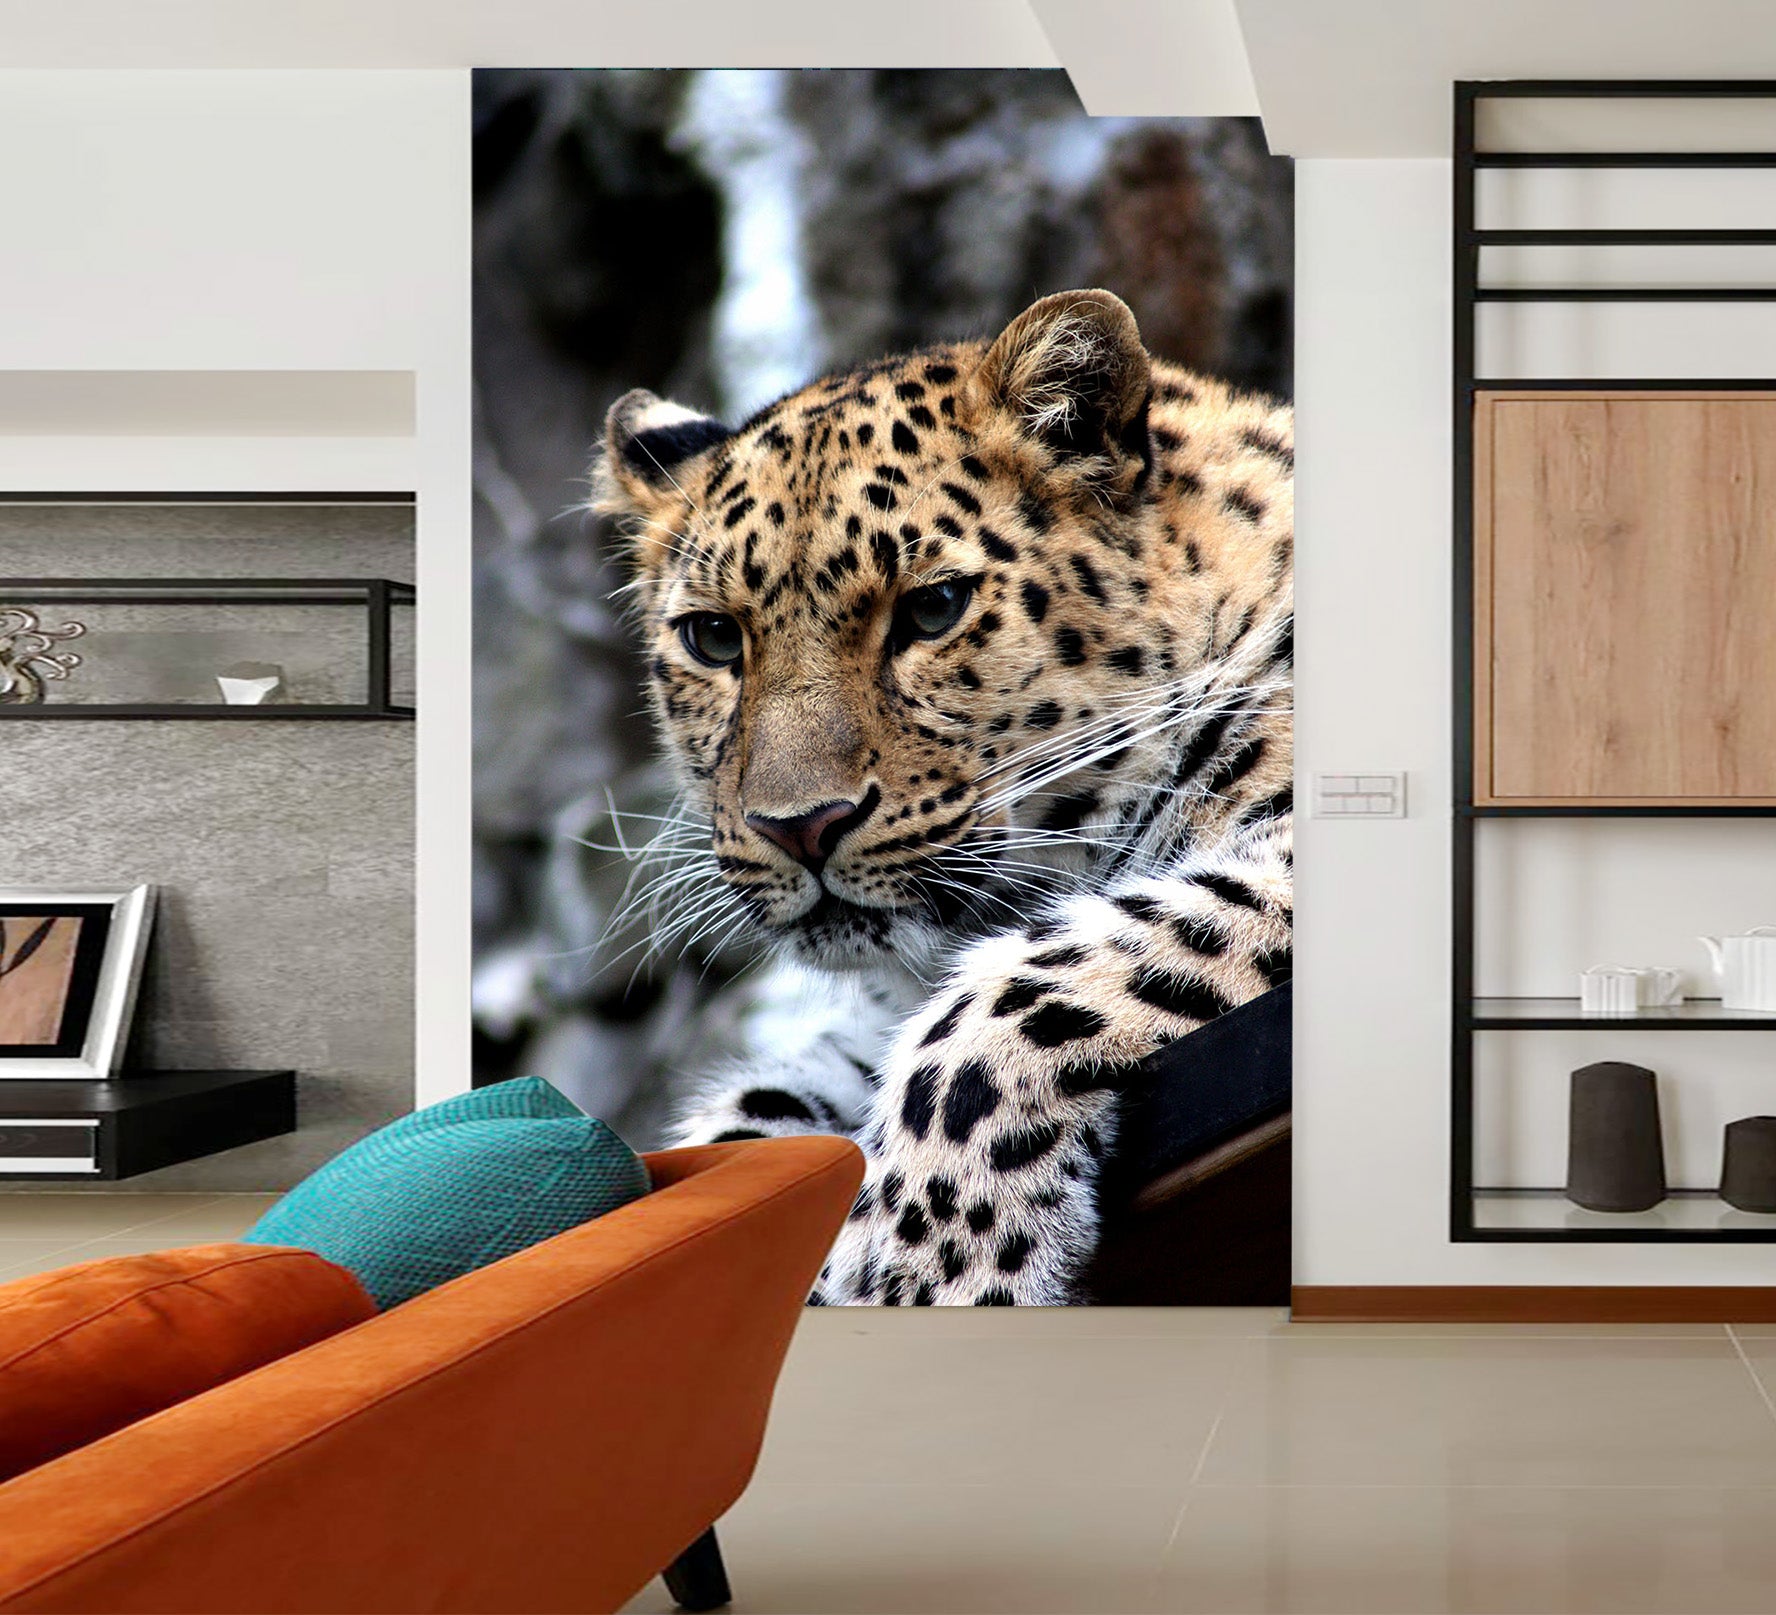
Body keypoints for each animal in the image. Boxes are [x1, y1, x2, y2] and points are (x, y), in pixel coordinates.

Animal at [591, 288, 1292, 1305]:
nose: (799, 826)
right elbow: (773, 1103)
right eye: (714, 638)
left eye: (933, 609)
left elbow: (1016, 991)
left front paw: (926, 1268)